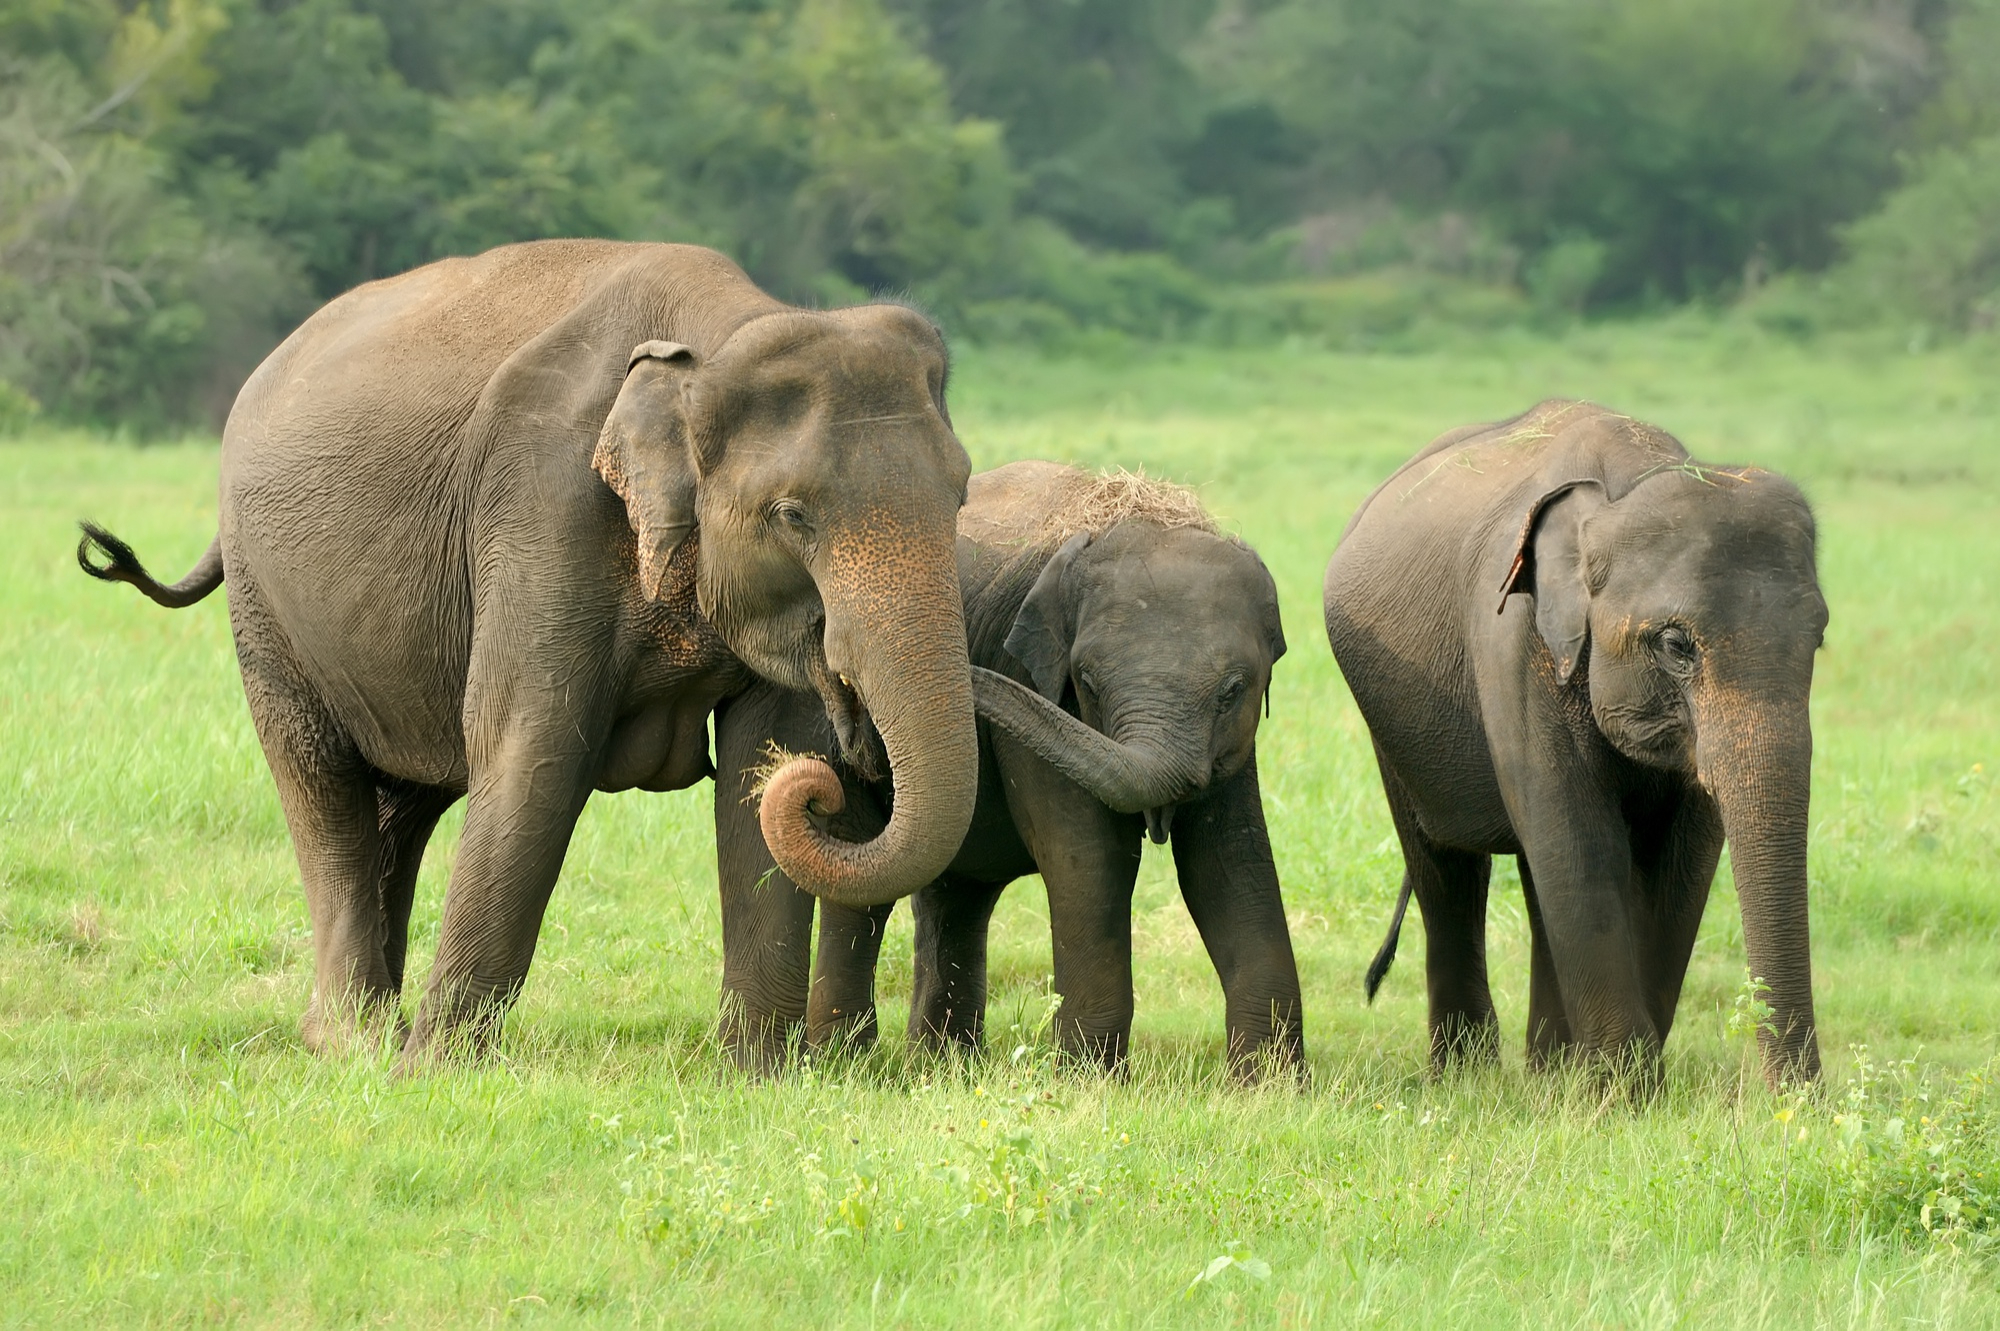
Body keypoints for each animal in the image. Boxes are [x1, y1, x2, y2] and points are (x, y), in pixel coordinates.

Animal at [78, 240, 981, 1068]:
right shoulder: (541, 505)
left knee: (403, 805)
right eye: (793, 516)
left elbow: (766, 757)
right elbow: (533, 751)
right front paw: (434, 1073)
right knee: (321, 785)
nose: (850, 769)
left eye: (961, 492)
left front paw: (755, 1075)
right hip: (266, 608)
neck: (722, 329)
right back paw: (355, 1042)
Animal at [712, 461, 1304, 1078]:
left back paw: (945, 1066)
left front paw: (1270, 1087)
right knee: (866, 881)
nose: (848, 680)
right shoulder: (1035, 693)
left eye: (1234, 690)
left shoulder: (1235, 748)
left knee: (956, 892)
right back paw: (848, 1063)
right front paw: (1090, 1082)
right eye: (1087, 682)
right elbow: (1090, 860)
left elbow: (1229, 863)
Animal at [1323, 400, 1827, 1090]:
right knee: (1446, 865)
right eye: (1676, 645)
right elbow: (1580, 844)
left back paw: (1548, 1073)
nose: (1802, 1104)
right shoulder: (1513, 645)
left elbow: (1680, 863)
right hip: (1392, 726)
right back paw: (1469, 1078)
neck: (1623, 486)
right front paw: (1625, 1094)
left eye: (1819, 639)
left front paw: (1610, 1086)